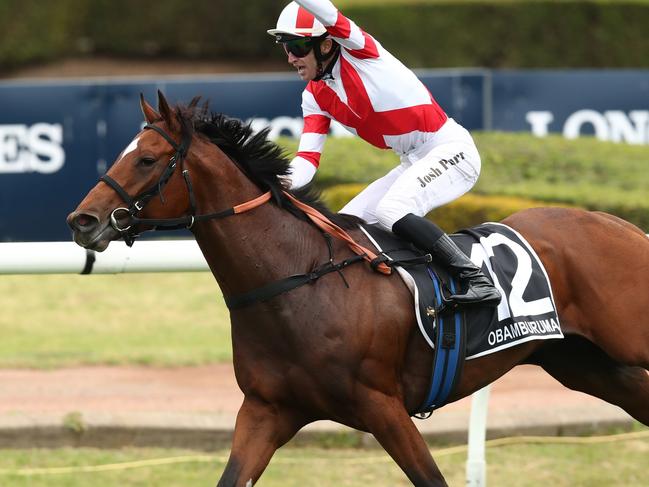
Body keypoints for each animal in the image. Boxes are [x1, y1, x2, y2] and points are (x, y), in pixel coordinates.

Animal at [66, 90, 648, 484]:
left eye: (146, 158)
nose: (82, 220)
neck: (297, 282)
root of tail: (621, 224)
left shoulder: (383, 407)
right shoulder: (266, 410)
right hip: (584, 363)